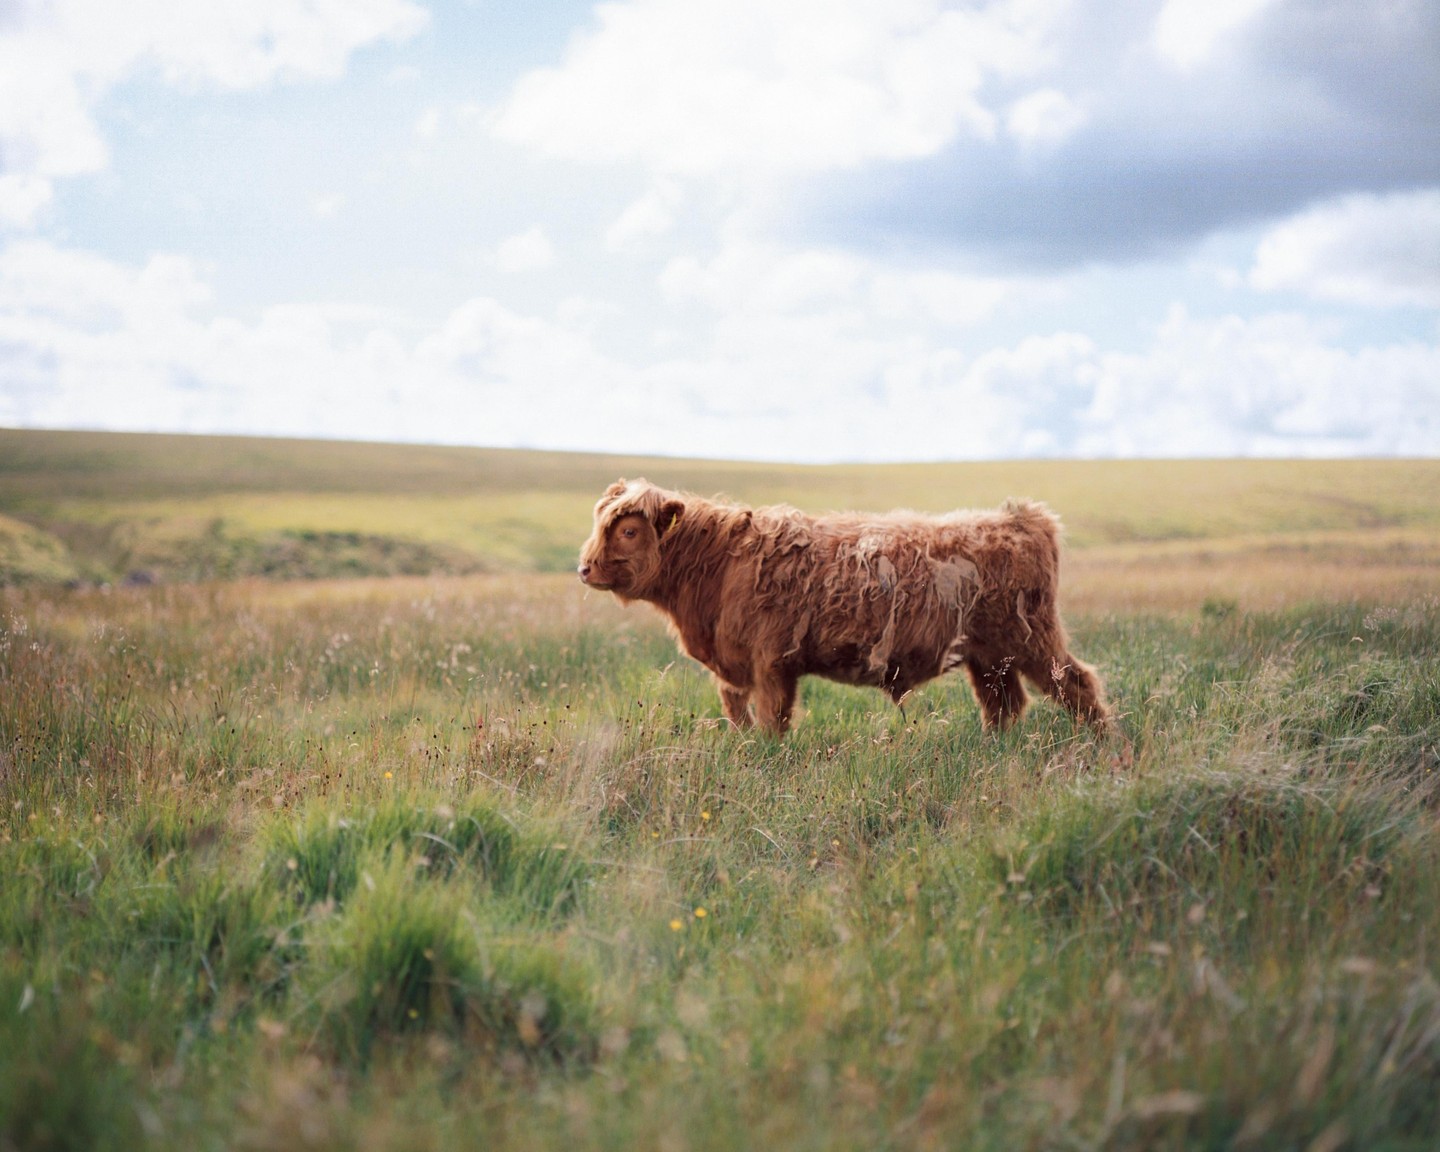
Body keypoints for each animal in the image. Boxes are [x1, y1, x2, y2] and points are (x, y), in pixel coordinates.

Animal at [578, 478, 1110, 736]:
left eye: (628, 530)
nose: (584, 568)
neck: (718, 563)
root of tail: (1021, 519)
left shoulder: (771, 665)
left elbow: (771, 722)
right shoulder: (735, 670)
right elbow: (738, 715)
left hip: (1032, 641)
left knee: (1077, 685)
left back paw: (1103, 747)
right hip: (988, 658)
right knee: (1003, 706)